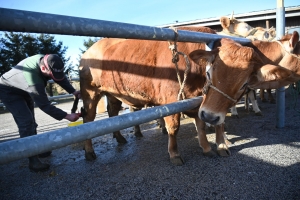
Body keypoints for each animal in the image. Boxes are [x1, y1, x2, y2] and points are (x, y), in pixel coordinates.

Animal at [79, 25, 270, 165]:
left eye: (244, 84)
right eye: (210, 73)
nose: (212, 116)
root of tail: (89, 50)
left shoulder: (197, 103)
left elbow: (201, 125)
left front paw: (207, 148)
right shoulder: (171, 101)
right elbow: (174, 127)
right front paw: (174, 153)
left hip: (112, 94)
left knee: (112, 113)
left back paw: (119, 138)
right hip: (90, 92)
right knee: (88, 118)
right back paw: (89, 151)